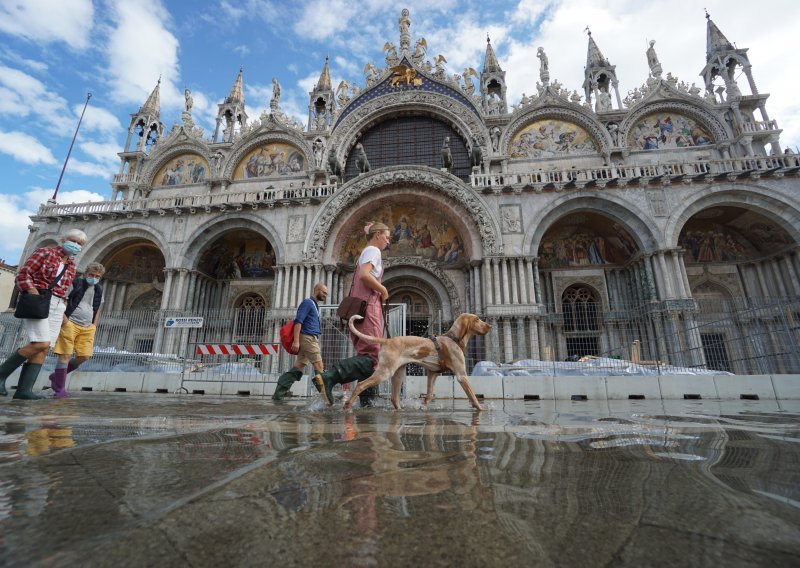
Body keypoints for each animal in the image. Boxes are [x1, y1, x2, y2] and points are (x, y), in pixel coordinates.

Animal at [342, 312, 490, 410]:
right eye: (477, 319)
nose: (490, 326)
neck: (453, 338)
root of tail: (387, 340)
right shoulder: (461, 375)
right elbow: (472, 395)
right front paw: (480, 409)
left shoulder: (432, 373)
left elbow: (429, 395)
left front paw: (423, 407)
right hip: (385, 372)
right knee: (360, 385)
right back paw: (348, 405)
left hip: (398, 374)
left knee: (394, 398)